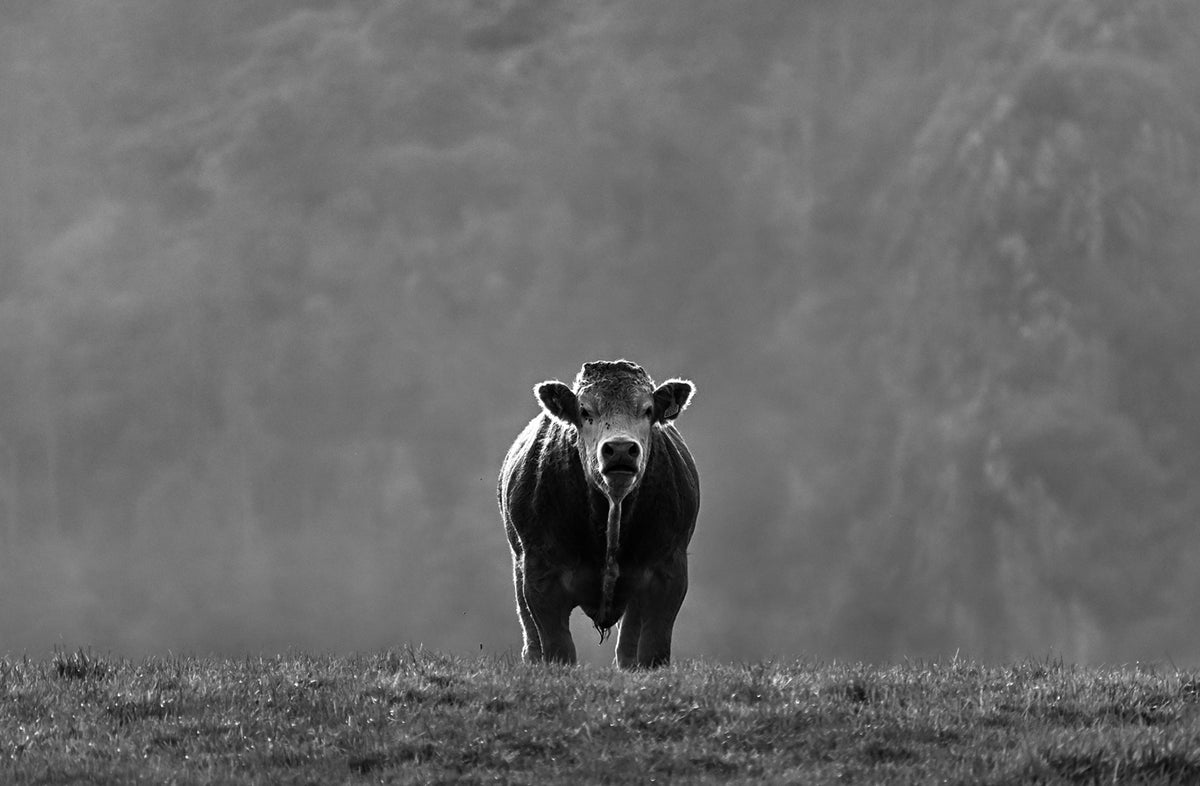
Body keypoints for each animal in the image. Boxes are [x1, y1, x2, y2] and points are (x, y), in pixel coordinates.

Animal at [497, 360, 700, 669]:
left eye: (647, 410)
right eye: (585, 411)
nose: (620, 448)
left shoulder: (669, 572)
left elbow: (653, 651)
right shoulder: (540, 575)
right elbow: (558, 650)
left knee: (627, 647)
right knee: (531, 640)